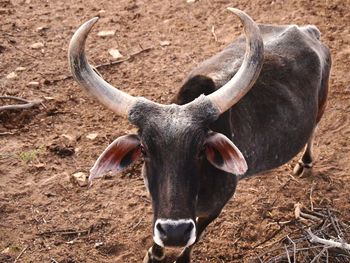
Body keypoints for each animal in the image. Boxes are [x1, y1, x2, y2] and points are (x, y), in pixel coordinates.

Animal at [67, 8, 330, 263]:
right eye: (144, 149)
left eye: (201, 150)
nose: (174, 232)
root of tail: (308, 32)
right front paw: (155, 253)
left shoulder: (216, 207)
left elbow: (197, 234)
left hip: (320, 108)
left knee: (313, 132)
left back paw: (305, 163)